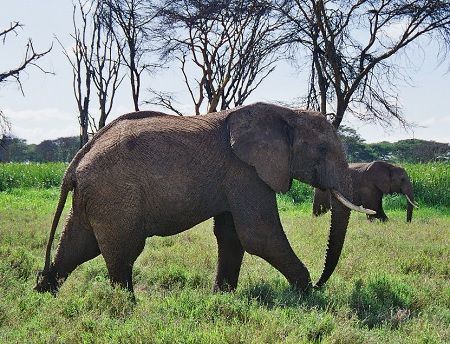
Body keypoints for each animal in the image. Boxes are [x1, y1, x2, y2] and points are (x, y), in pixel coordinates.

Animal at [34, 101, 372, 296]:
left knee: (79, 245)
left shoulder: (238, 176)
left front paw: (222, 297)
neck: (285, 113)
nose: (320, 283)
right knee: (123, 250)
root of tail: (75, 163)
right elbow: (259, 236)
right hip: (115, 193)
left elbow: (232, 236)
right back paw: (127, 308)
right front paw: (307, 293)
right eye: (322, 150)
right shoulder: (246, 172)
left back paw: (43, 292)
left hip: (94, 196)